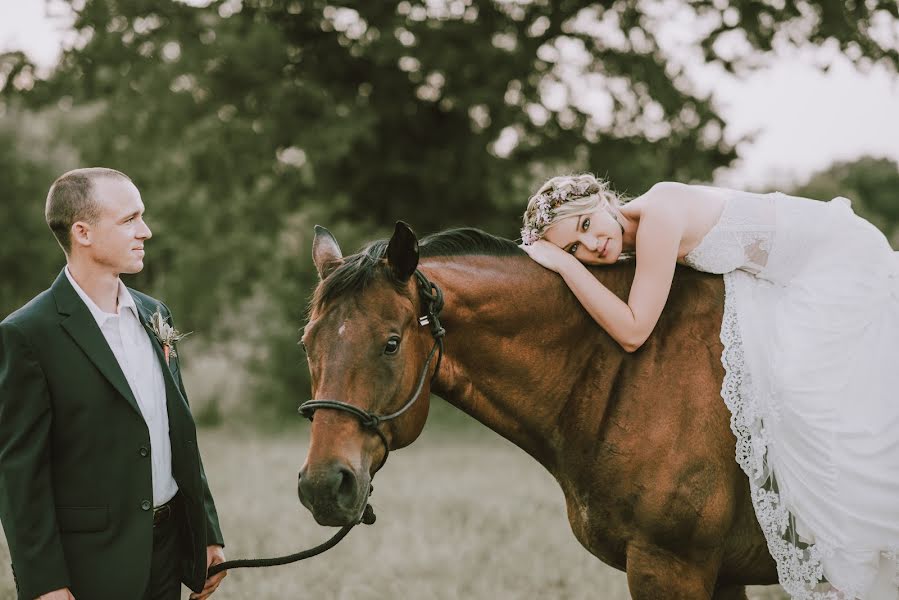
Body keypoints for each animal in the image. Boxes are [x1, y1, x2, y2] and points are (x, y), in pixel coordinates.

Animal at [298, 223, 780, 596]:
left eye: (392, 344)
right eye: (307, 344)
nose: (323, 485)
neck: (637, 363)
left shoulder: (670, 567)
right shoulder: (719, 576)